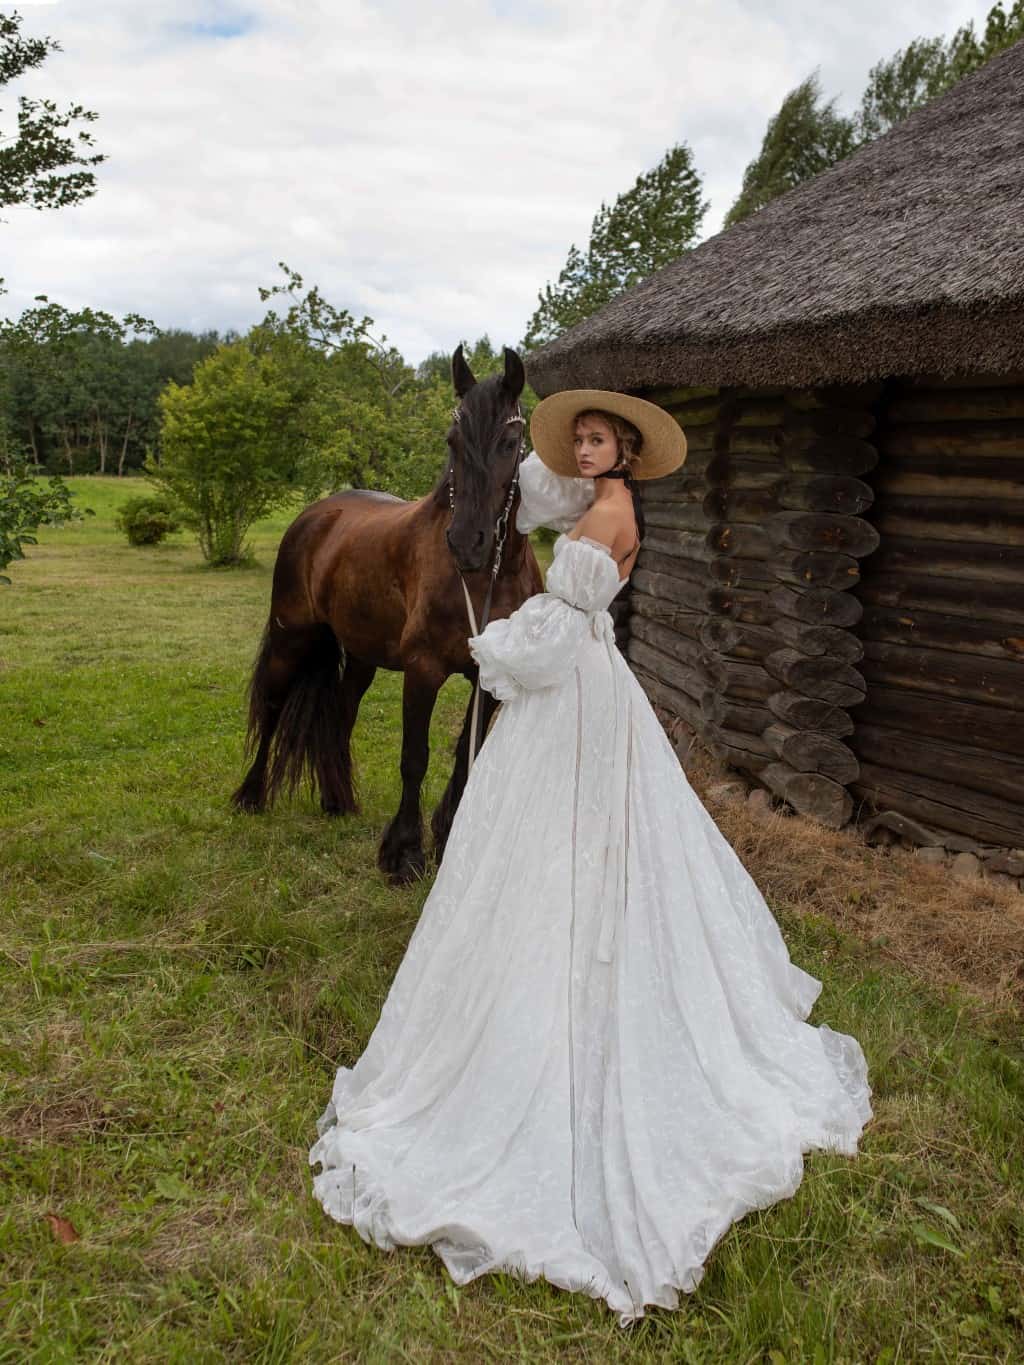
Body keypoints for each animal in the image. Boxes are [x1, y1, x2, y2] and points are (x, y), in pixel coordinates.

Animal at [229, 346, 540, 884]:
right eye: (452, 440)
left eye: (510, 441)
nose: (467, 543)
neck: (489, 578)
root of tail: (316, 514)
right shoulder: (423, 669)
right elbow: (415, 757)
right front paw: (404, 853)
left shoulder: (490, 675)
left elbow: (468, 753)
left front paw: (448, 837)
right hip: (292, 639)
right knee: (271, 706)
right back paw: (251, 796)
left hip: (359, 656)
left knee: (341, 713)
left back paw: (337, 799)